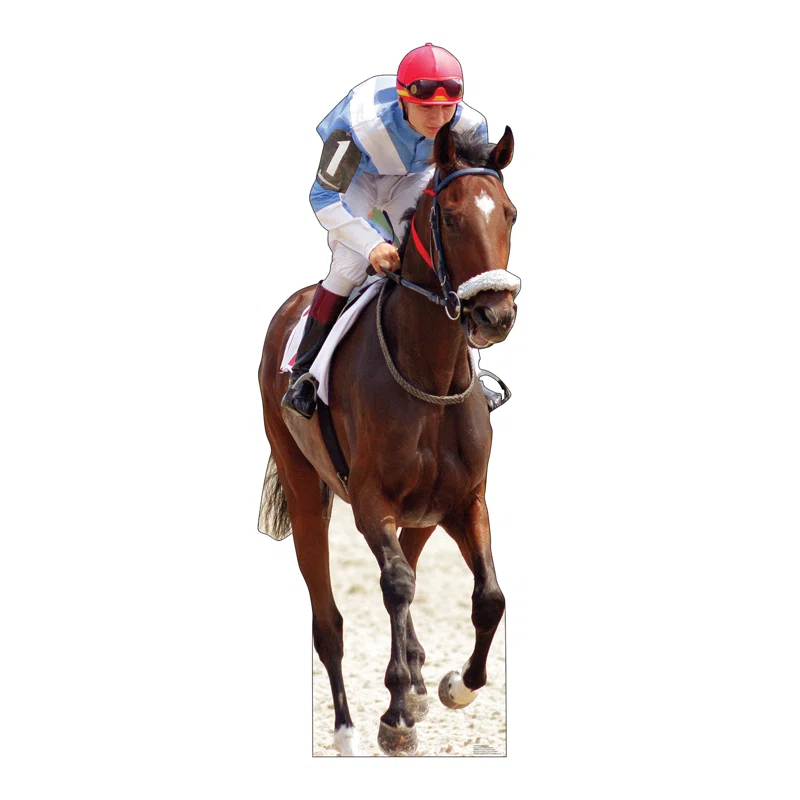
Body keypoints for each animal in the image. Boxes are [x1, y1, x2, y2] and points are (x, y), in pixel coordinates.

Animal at [258, 122, 519, 756]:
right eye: (450, 216)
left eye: (509, 213)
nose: (495, 315)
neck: (430, 376)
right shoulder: (370, 503)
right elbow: (395, 585)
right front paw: (396, 714)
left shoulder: (466, 500)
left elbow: (490, 597)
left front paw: (454, 685)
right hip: (306, 493)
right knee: (329, 620)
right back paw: (348, 728)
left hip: (424, 512)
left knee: (413, 562)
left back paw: (421, 678)